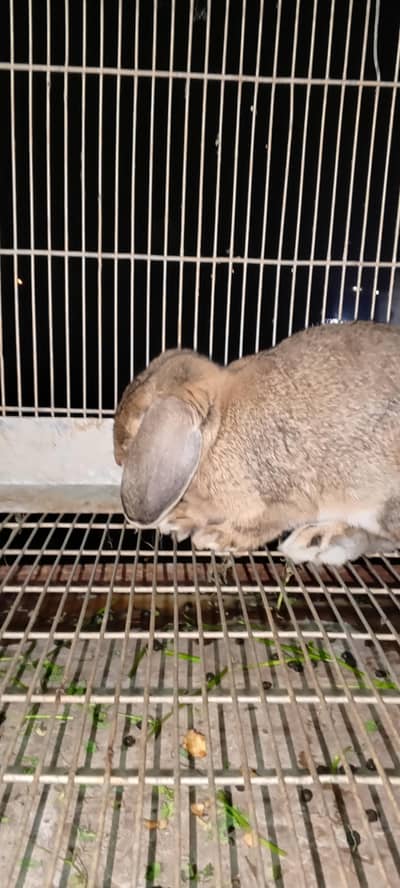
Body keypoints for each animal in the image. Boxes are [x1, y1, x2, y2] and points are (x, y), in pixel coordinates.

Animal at [114, 321, 400, 566]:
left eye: (137, 424)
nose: (117, 458)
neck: (219, 424)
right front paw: (180, 517)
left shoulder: (281, 502)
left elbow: (261, 524)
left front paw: (216, 537)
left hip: (379, 501)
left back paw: (315, 541)